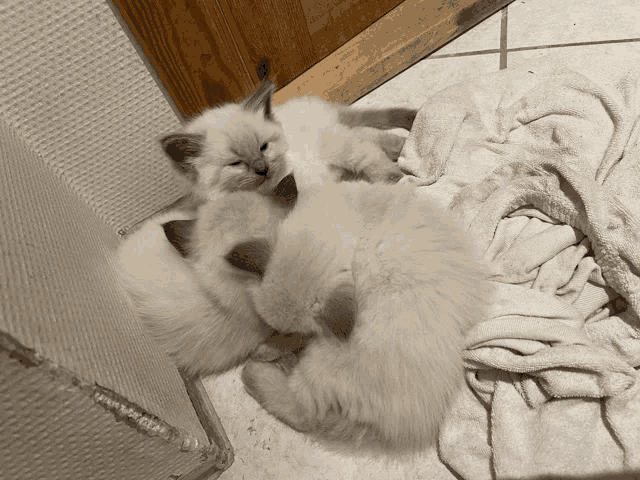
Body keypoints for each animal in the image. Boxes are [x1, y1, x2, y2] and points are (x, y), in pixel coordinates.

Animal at [162, 80, 418, 202]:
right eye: (236, 163)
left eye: (264, 147)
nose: (263, 169)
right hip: (341, 137)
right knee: (372, 137)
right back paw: (403, 147)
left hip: (335, 144)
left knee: (370, 152)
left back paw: (400, 172)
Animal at [226, 182, 496, 456]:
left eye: (295, 331)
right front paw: (269, 347)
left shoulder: (322, 328)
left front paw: (266, 351)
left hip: (321, 359)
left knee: (303, 412)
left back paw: (255, 372)